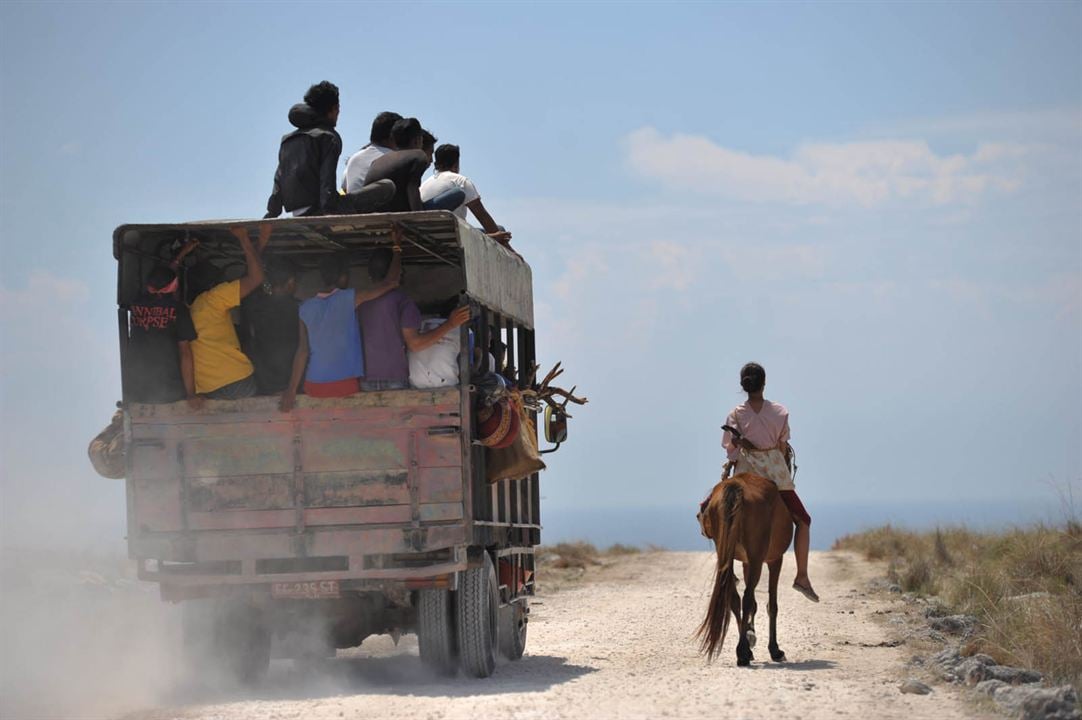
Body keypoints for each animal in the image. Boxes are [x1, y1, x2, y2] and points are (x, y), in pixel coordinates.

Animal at [696, 472, 792, 662]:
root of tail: (736, 487)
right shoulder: (775, 559)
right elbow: (772, 605)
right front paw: (775, 649)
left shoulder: (746, 562)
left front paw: (749, 633)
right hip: (757, 557)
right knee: (746, 598)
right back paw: (743, 652)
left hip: (727, 553)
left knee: (734, 597)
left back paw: (744, 649)